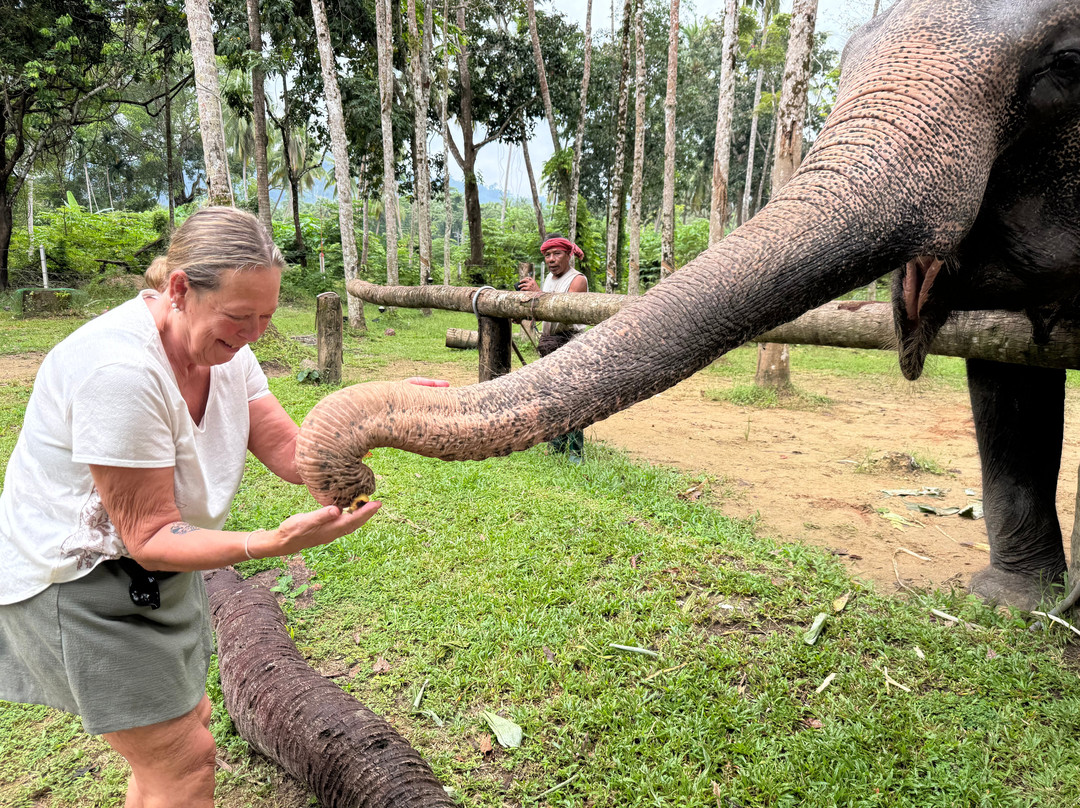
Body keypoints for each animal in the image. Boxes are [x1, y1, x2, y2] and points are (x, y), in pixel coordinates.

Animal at [296, 0, 1080, 612]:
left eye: (1068, 62)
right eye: (852, 53)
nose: (359, 484)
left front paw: (1021, 612)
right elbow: (1005, 381)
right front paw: (1015, 605)